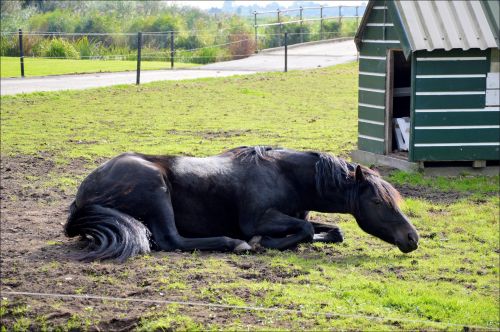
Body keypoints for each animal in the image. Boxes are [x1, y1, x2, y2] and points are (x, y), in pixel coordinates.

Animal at [65, 146, 418, 262]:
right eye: (378, 201)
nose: (412, 238)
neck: (285, 175)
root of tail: (84, 192)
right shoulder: (257, 219)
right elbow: (303, 229)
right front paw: (264, 242)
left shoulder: (294, 214)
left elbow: (331, 230)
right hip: (157, 190)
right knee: (170, 240)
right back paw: (236, 244)